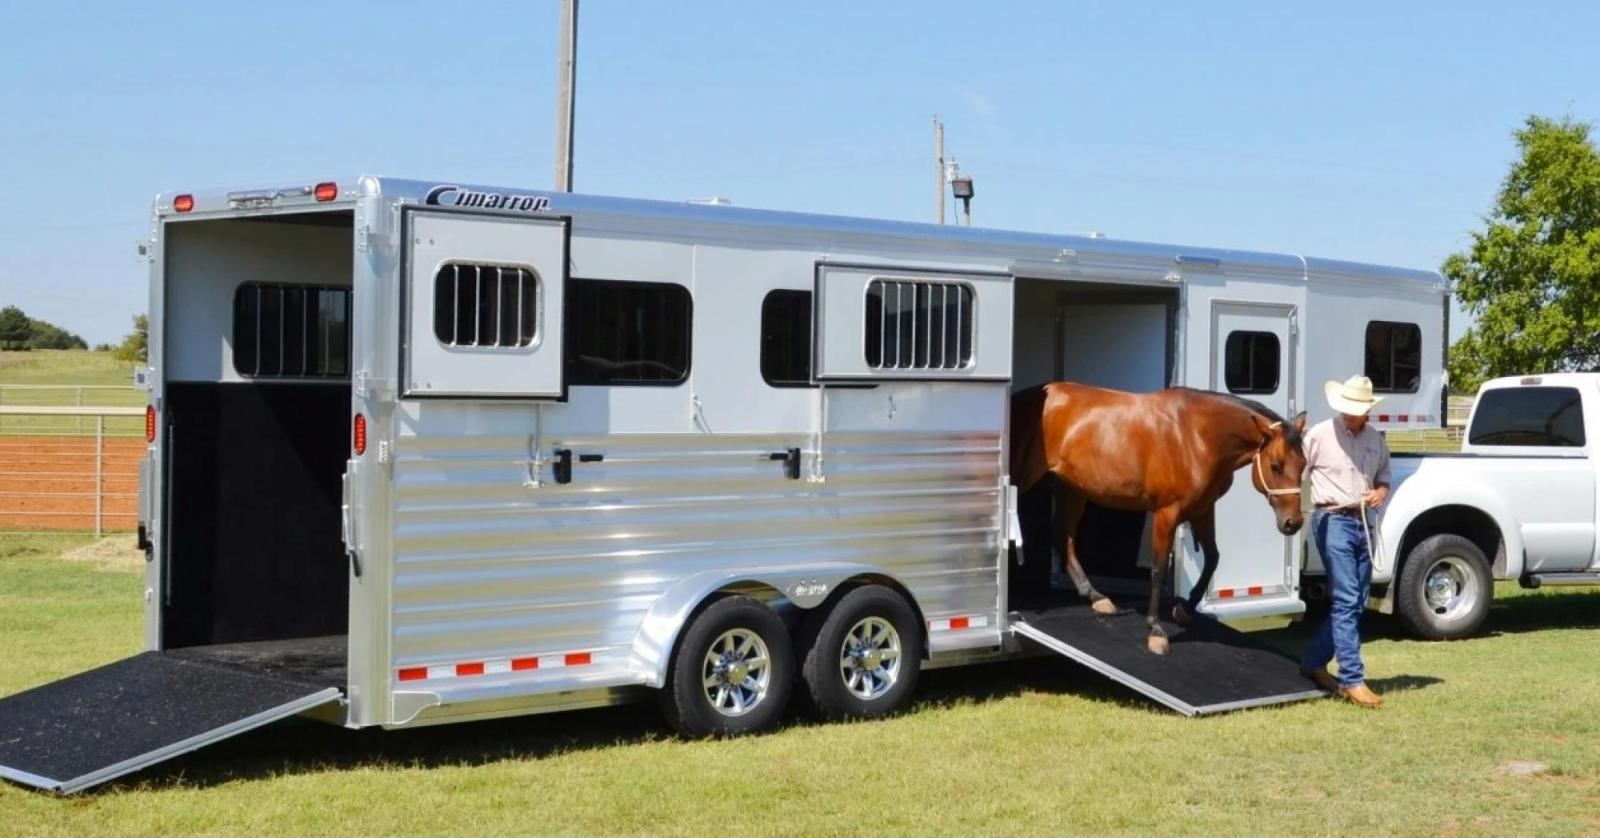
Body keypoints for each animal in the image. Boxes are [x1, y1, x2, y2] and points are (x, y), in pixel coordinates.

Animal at [1017, 380, 1305, 655]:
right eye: (1276, 466)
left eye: (1303, 465)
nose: (1293, 523)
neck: (1196, 437)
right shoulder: (1167, 512)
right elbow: (1158, 568)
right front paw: (1155, 630)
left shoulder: (1202, 509)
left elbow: (1213, 557)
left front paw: (1185, 610)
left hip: (1072, 490)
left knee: (1063, 538)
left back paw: (1096, 597)